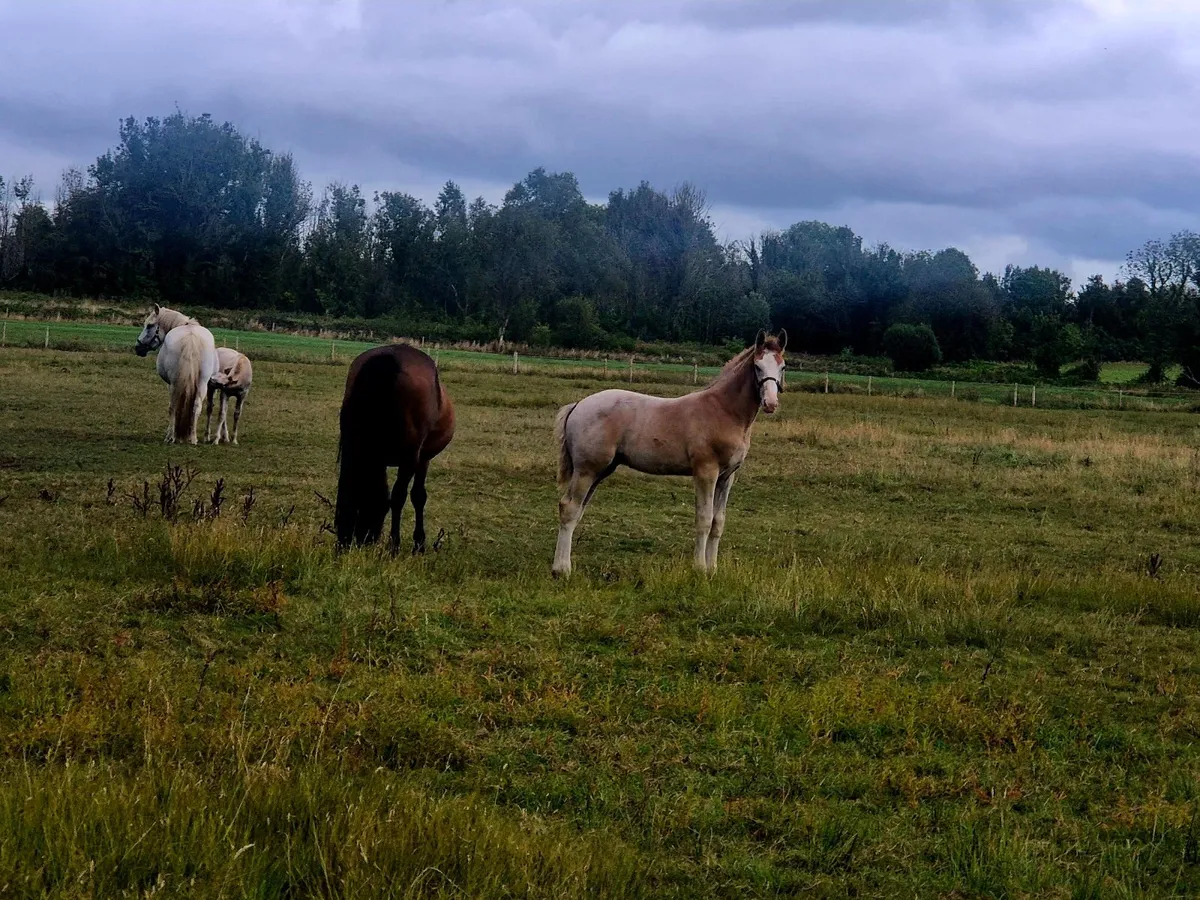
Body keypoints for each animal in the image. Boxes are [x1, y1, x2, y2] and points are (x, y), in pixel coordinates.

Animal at [134, 305, 220, 445]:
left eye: (149, 325)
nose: (138, 348)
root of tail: (191, 337)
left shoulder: (170, 384)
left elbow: (172, 408)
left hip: (174, 384)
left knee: (173, 407)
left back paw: (171, 437)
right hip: (202, 383)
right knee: (197, 406)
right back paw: (193, 438)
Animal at [335, 344, 456, 554]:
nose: (355, 542)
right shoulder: (419, 458)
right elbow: (415, 496)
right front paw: (412, 543)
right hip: (410, 456)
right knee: (399, 496)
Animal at [552, 329, 787, 578]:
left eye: (782, 366)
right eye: (757, 366)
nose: (771, 403)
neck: (724, 411)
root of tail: (578, 405)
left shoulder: (727, 476)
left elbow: (718, 522)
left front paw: (712, 569)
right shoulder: (706, 471)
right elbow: (704, 520)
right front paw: (700, 568)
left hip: (601, 470)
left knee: (578, 509)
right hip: (587, 469)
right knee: (569, 508)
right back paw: (561, 570)